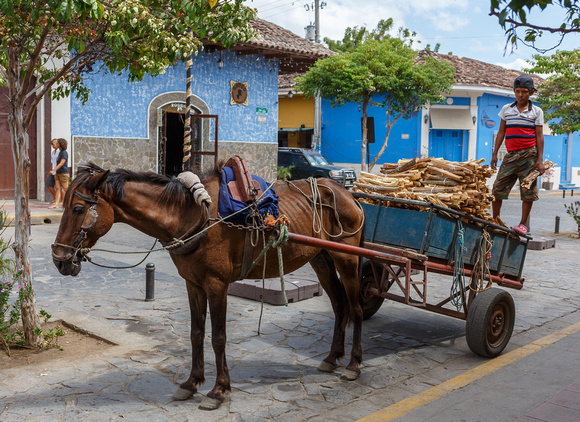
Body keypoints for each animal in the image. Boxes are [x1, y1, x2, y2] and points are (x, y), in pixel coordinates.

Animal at [52, 162, 364, 408]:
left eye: (77, 208)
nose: (58, 259)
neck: (193, 214)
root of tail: (346, 192)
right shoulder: (193, 284)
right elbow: (196, 333)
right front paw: (191, 383)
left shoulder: (217, 285)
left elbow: (218, 337)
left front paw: (218, 390)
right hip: (322, 258)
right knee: (339, 305)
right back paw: (332, 357)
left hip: (348, 259)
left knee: (356, 308)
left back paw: (353, 364)